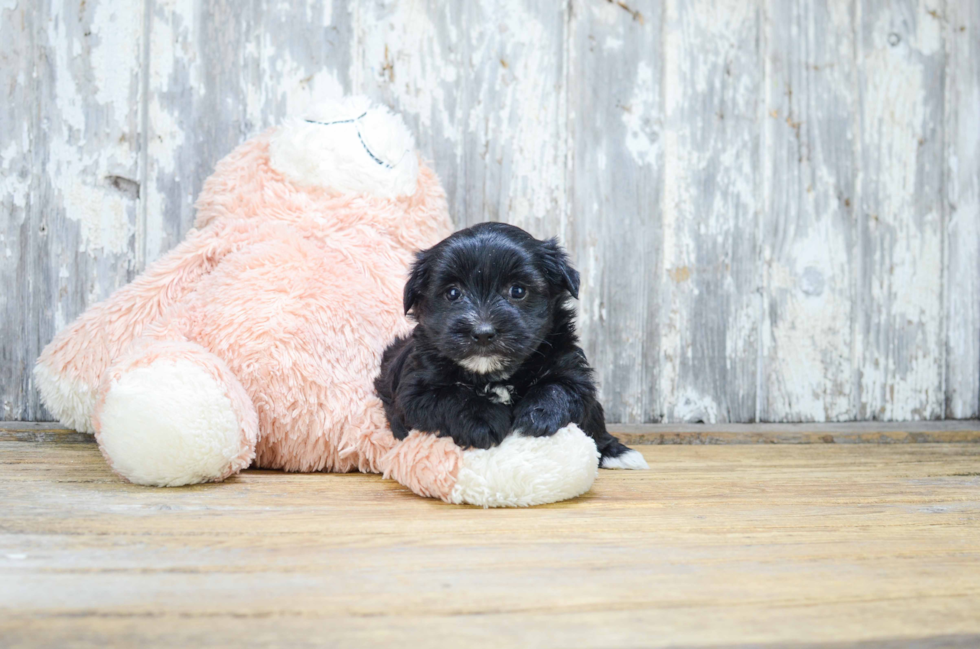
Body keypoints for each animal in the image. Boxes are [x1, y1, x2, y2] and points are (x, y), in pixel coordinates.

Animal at [378, 220, 648, 468]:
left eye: (517, 291)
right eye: (453, 293)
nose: (483, 333)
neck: (494, 373)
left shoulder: (571, 369)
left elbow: (561, 387)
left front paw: (537, 415)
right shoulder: (415, 390)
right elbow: (449, 396)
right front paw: (482, 419)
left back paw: (616, 451)